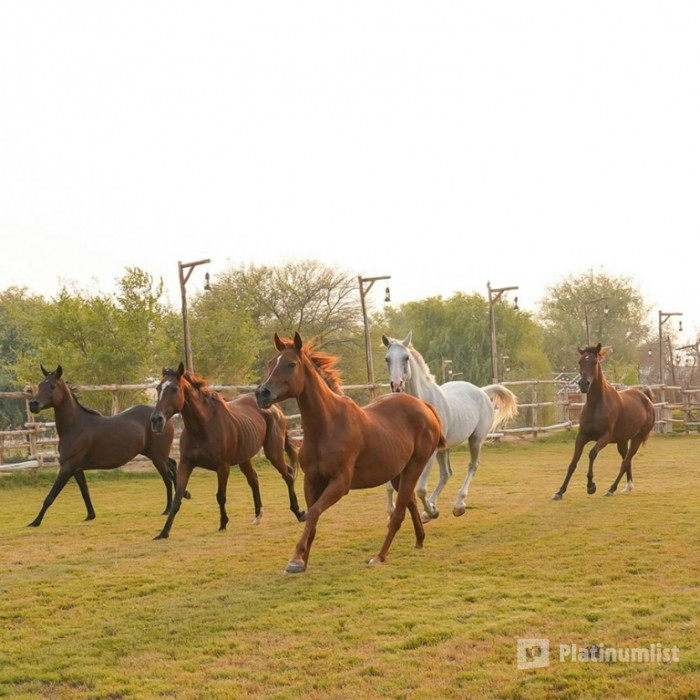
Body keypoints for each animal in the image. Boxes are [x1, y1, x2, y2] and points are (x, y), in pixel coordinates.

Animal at [27, 364, 179, 527]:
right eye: (40, 385)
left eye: (52, 386)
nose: (33, 404)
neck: (76, 426)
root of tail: (164, 417)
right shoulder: (76, 469)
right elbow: (85, 492)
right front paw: (90, 515)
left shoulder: (67, 467)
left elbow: (50, 496)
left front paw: (35, 522)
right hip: (157, 455)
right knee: (174, 465)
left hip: (157, 457)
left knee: (167, 478)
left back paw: (167, 510)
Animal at [149, 363, 306, 540]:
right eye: (158, 388)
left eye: (174, 389)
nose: (156, 420)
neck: (203, 427)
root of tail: (274, 408)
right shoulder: (185, 464)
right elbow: (178, 498)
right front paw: (163, 532)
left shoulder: (222, 467)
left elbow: (221, 496)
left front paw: (223, 523)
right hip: (245, 458)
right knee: (254, 480)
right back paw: (258, 516)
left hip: (273, 453)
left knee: (288, 475)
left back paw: (299, 513)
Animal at [255, 332, 447, 574]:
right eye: (271, 363)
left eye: (291, 364)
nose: (261, 393)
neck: (326, 426)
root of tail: (425, 407)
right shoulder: (312, 481)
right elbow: (312, 517)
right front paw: (303, 560)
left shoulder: (340, 483)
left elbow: (314, 512)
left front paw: (296, 559)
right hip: (396, 473)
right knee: (410, 501)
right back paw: (419, 540)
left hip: (415, 467)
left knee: (399, 512)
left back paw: (380, 556)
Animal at [382, 331, 518, 520]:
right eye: (387, 359)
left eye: (406, 357)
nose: (396, 385)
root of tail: (482, 391)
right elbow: (390, 485)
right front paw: (391, 513)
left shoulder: (429, 454)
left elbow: (420, 489)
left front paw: (432, 511)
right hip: (444, 448)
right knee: (446, 474)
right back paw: (430, 510)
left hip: (475, 440)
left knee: (472, 466)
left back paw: (457, 506)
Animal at [552, 343, 655, 500]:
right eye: (580, 362)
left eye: (595, 362)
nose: (583, 384)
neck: (597, 404)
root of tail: (646, 399)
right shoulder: (582, 436)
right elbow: (573, 463)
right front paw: (560, 492)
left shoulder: (605, 437)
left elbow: (592, 453)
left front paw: (591, 486)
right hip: (622, 441)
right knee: (626, 460)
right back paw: (628, 486)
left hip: (637, 438)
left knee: (625, 461)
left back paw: (611, 489)